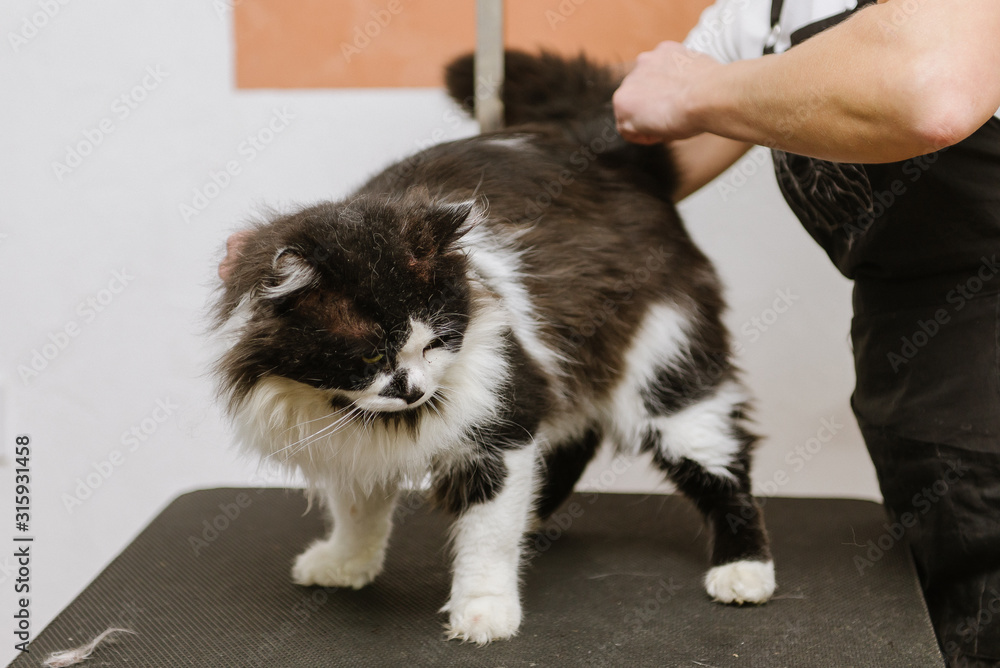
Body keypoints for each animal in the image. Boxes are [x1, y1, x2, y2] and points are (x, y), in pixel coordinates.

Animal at [209, 49, 772, 644]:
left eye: (436, 343)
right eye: (370, 356)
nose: (413, 391)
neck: (360, 413)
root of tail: (607, 152)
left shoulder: (501, 424)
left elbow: (486, 539)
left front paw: (484, 612)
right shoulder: (350, 444)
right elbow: (357, 510)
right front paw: (347, 563)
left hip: (667, 370)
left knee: (724, 465)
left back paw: (744, 570)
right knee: (576, 441)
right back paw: (536, 516)